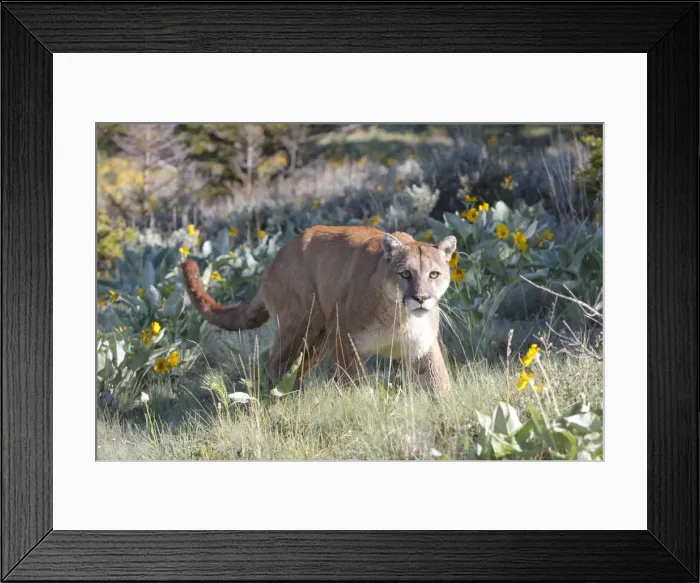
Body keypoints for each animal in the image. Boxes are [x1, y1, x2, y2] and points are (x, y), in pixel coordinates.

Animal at [181, 225, 456, 393]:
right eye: (405, 273)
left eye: (433, 274)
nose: (421, 297)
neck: (399, 318)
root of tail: (275, 259)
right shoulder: (344, 338)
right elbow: (356, 381)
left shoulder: (423, 347)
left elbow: (439, 384)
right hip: (303, 323)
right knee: (276, 363)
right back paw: (290, 397)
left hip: (319, 340)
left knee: (295, 367)